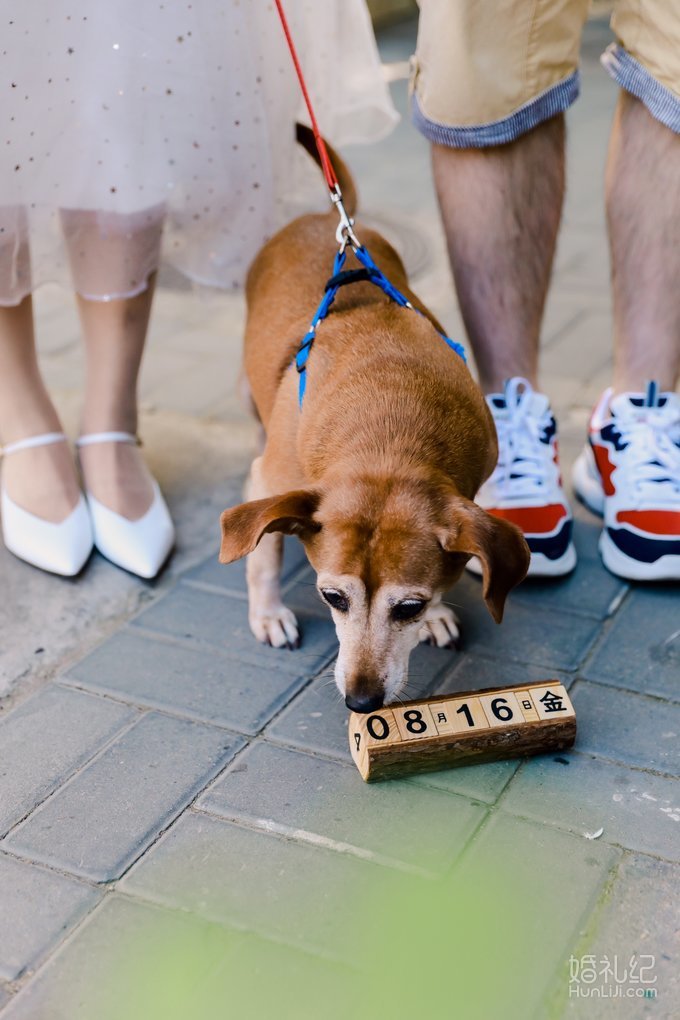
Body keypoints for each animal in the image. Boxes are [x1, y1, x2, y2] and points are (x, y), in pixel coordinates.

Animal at [221, 125, 530, 709]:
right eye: (331, 597)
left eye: (409, 607)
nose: (360, 701)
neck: (389, 425)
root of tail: (327, 217)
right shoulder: (271, 482)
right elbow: (263, 554)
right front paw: (268, 613)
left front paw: (439, 615)